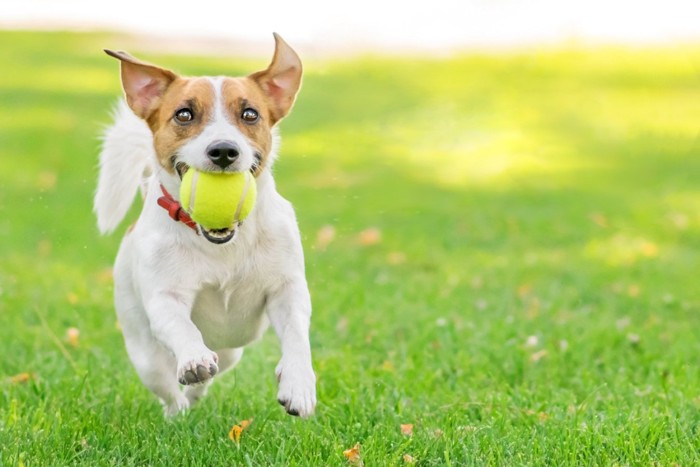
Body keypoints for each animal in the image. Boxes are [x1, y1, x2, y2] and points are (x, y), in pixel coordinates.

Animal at [95, 34, 318, 418]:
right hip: (145, 352)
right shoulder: (165, 297)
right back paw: (179, 410)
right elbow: (182, 327)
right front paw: (194, 359)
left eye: (250, 114)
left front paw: (298, 385)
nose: (224, 151)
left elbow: (296, 337)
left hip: (231, 350)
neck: (224, 243)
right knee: (171, 390)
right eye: (184, 114)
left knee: (214, 371)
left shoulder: (287, 289)